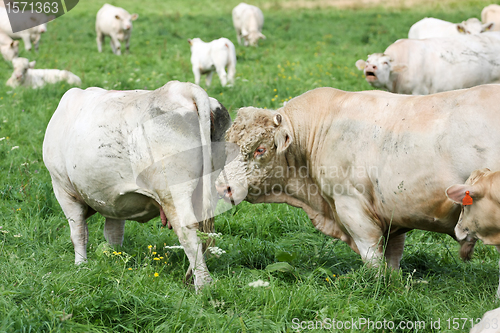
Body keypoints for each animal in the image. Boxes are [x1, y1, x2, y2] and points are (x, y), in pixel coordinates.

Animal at [43, 81, 230, 290]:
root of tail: (182, 88)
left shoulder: (63, 189)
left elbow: (78, 233)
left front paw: (80, 266)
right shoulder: (113, 199)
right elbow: (114, 233)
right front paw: (114, 259)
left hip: (173, 191)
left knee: (187, 231)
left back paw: (204, 284)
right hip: (208, 185)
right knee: (204, 229)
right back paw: (191, 277)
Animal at [217, 84, 500, 268]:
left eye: (260, 149)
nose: (222, 188)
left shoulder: (351, 206)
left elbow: (373, 258)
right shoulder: (393, 211)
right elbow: (393, 258)